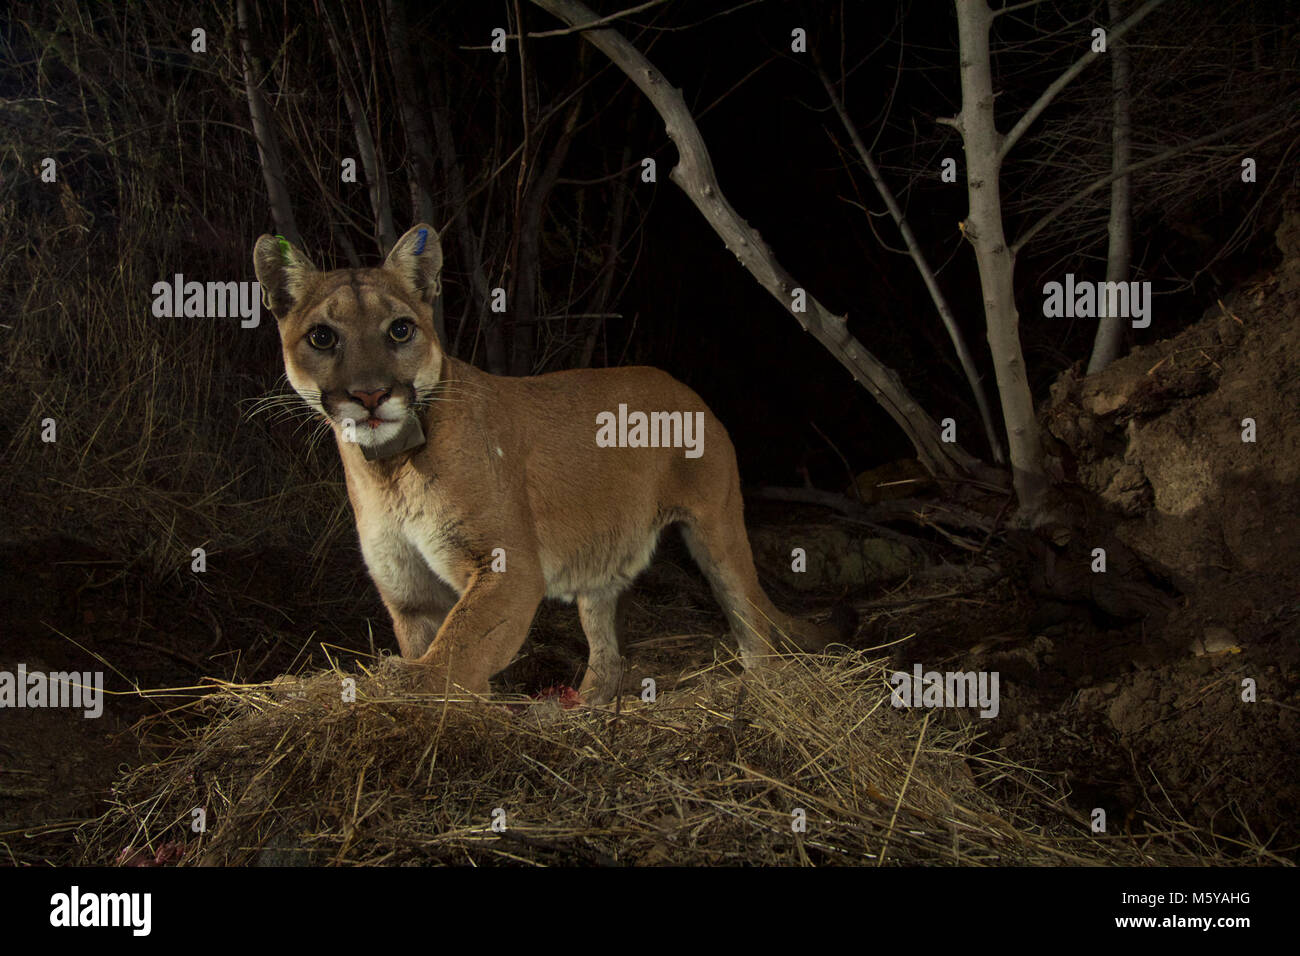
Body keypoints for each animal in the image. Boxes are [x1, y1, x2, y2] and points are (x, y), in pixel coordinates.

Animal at [253, 223, 852, 702]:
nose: (370, 394)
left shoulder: (507, 569)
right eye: (322, 337)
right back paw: (582, 707)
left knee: (751, 619)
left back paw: (761, 692)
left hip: (717, 528)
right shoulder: (408, 593)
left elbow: (457, 650)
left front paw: (412, 690)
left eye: (399, 329)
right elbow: (443, 648)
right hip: (601, 558)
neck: (388, 468)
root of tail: (686, 388)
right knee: (608, 651)